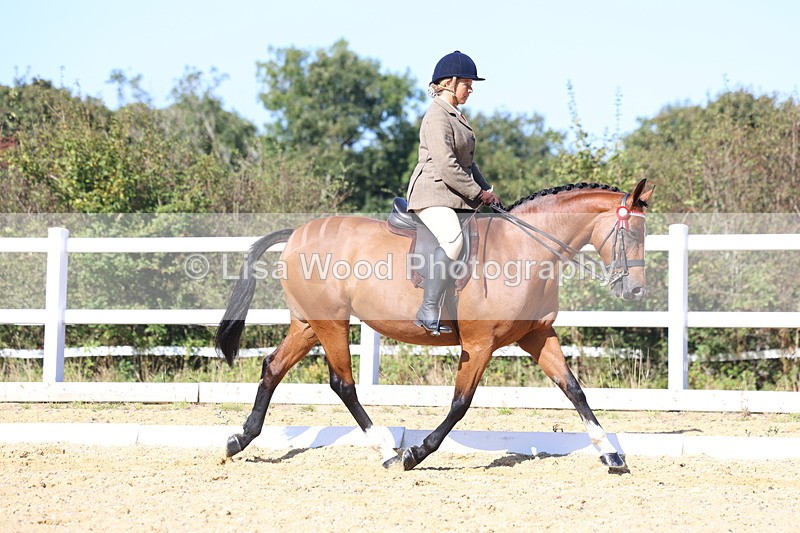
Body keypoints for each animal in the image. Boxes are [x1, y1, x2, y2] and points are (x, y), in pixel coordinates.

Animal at [216, 179, 653, 473]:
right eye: (633, 231)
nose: (634, 288)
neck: (525, 250)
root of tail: (296, 234)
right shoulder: (479, 344)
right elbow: (460, 403)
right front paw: (416, 453)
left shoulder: (536, 335)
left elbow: (574, 390)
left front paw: (611, 454)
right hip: (331, 323)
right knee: (343, 384)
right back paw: (387, 452)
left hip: (308, 324)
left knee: (272, 367)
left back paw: (239, 440)